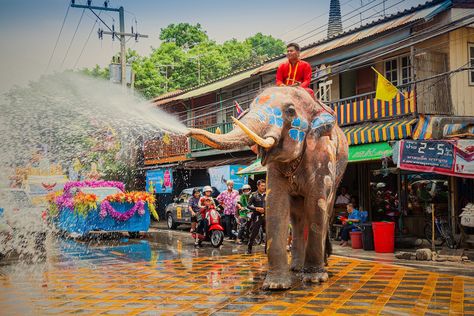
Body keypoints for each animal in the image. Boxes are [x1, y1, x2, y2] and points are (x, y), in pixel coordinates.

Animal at [188, 86, 348, 288]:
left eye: (290, 111)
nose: (186, 132)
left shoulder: (322, 154)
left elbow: (316, 203)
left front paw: (315, 279)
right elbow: (276, 204)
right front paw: (275, 285)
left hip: (339, 172)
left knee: (325, 209)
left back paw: (319, 266)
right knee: (297, 216)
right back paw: (296, 267)